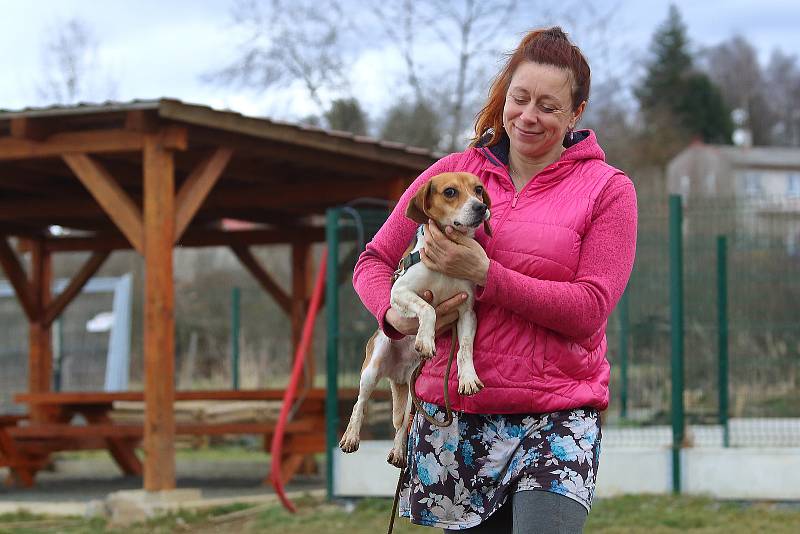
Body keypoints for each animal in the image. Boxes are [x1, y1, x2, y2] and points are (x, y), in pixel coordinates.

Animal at [336, 173, 488, 468]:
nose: (480, 207)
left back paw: (398, 451)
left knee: (401, 424)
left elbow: (464, 348)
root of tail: (395, 373)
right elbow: (428, 308)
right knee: (359, 404)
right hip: (371, 369)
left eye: (478, 189)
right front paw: (425, 339)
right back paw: (351, 437)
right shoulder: (400, 292)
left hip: (411, 391)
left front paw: (467, 377)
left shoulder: (466, 312)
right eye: (450, 192)